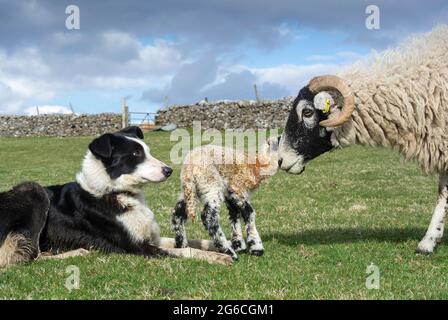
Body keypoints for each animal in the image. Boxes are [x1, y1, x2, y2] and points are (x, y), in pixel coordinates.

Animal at [0, 126, 229, 266]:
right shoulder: (139, 248)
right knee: (25, 257)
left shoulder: (153, 238)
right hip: (34, 190)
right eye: (136, 154)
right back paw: (76, 252)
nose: (169, 170)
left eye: (147, 151)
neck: (115, 192)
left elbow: (190, 242)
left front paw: (224, 245)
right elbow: (185, 251)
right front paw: (216, 256)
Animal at [278, 26, 448, 254]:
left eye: (307, 112)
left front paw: (427, 242)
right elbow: (442, 192)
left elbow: (443, 194)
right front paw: (433, 238)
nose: (280, 160)